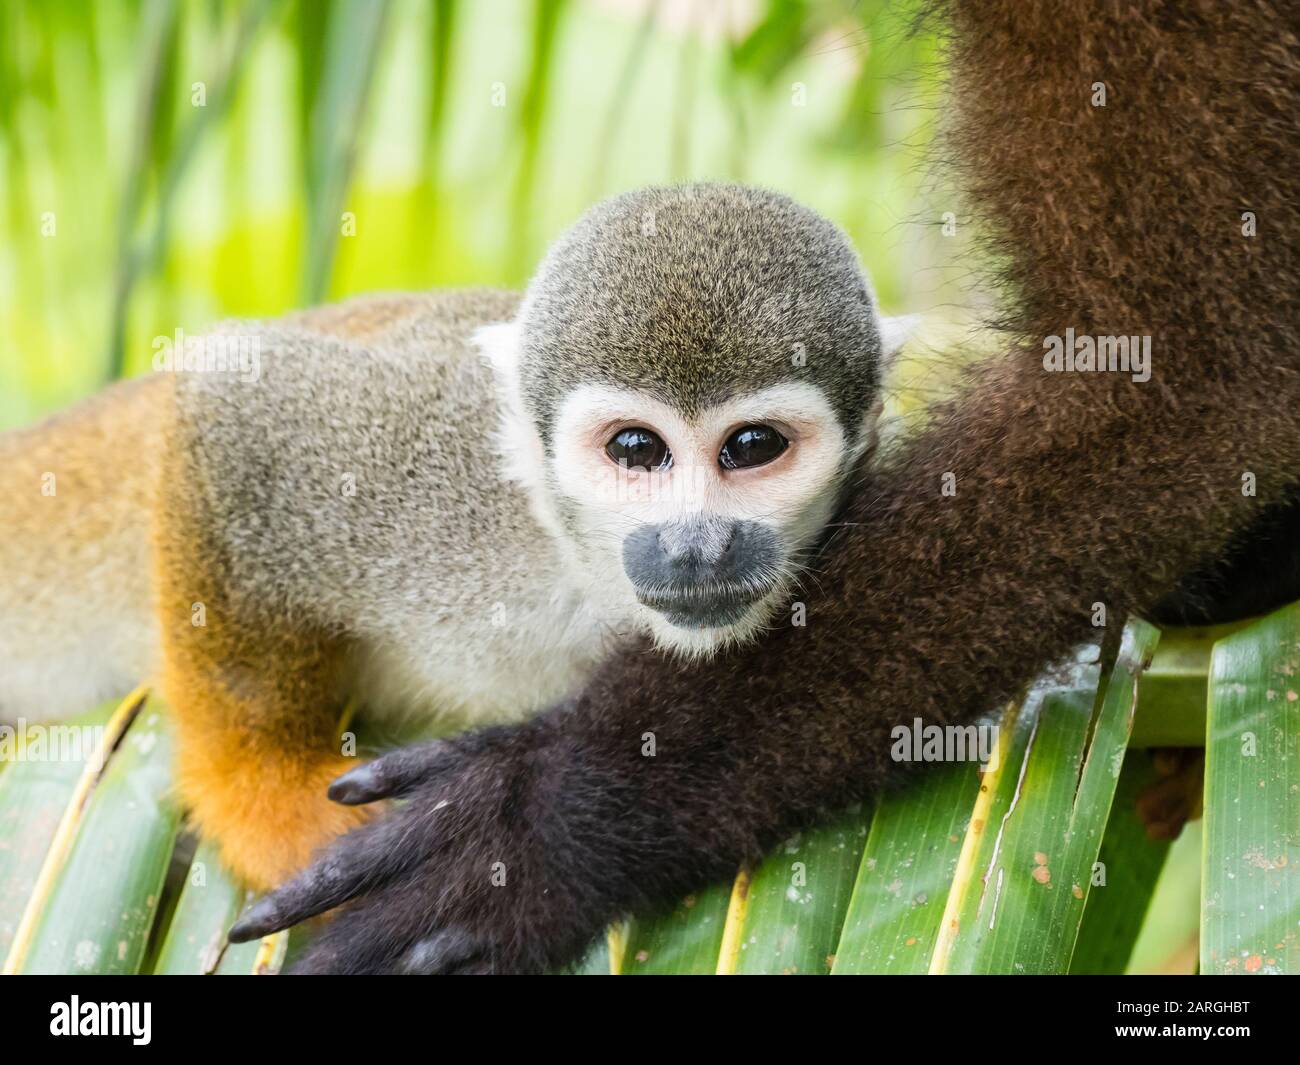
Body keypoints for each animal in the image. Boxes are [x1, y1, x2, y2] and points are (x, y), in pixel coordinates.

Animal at [0, 182, 913, 891]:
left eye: (752, 447)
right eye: (635, 449)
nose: (697, 546)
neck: (575, 568)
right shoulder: (421, 464)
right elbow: (241, 395)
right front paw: (262, 792)